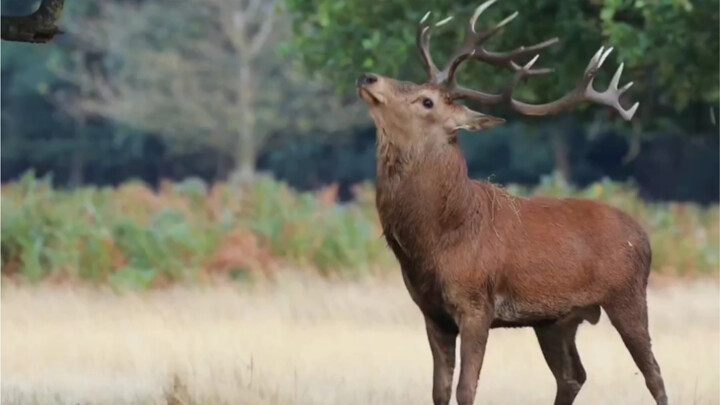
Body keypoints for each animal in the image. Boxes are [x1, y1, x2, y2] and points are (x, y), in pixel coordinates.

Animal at [355, 2, 667, 405]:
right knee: (573, 375)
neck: (437, 239)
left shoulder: (477, 304)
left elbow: (465, 389)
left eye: (426, 101)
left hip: (627, 294)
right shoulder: (430, 312)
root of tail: (644, 236)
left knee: (653, 373)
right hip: (555, 319)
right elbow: (439, 391)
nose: (368, 77)